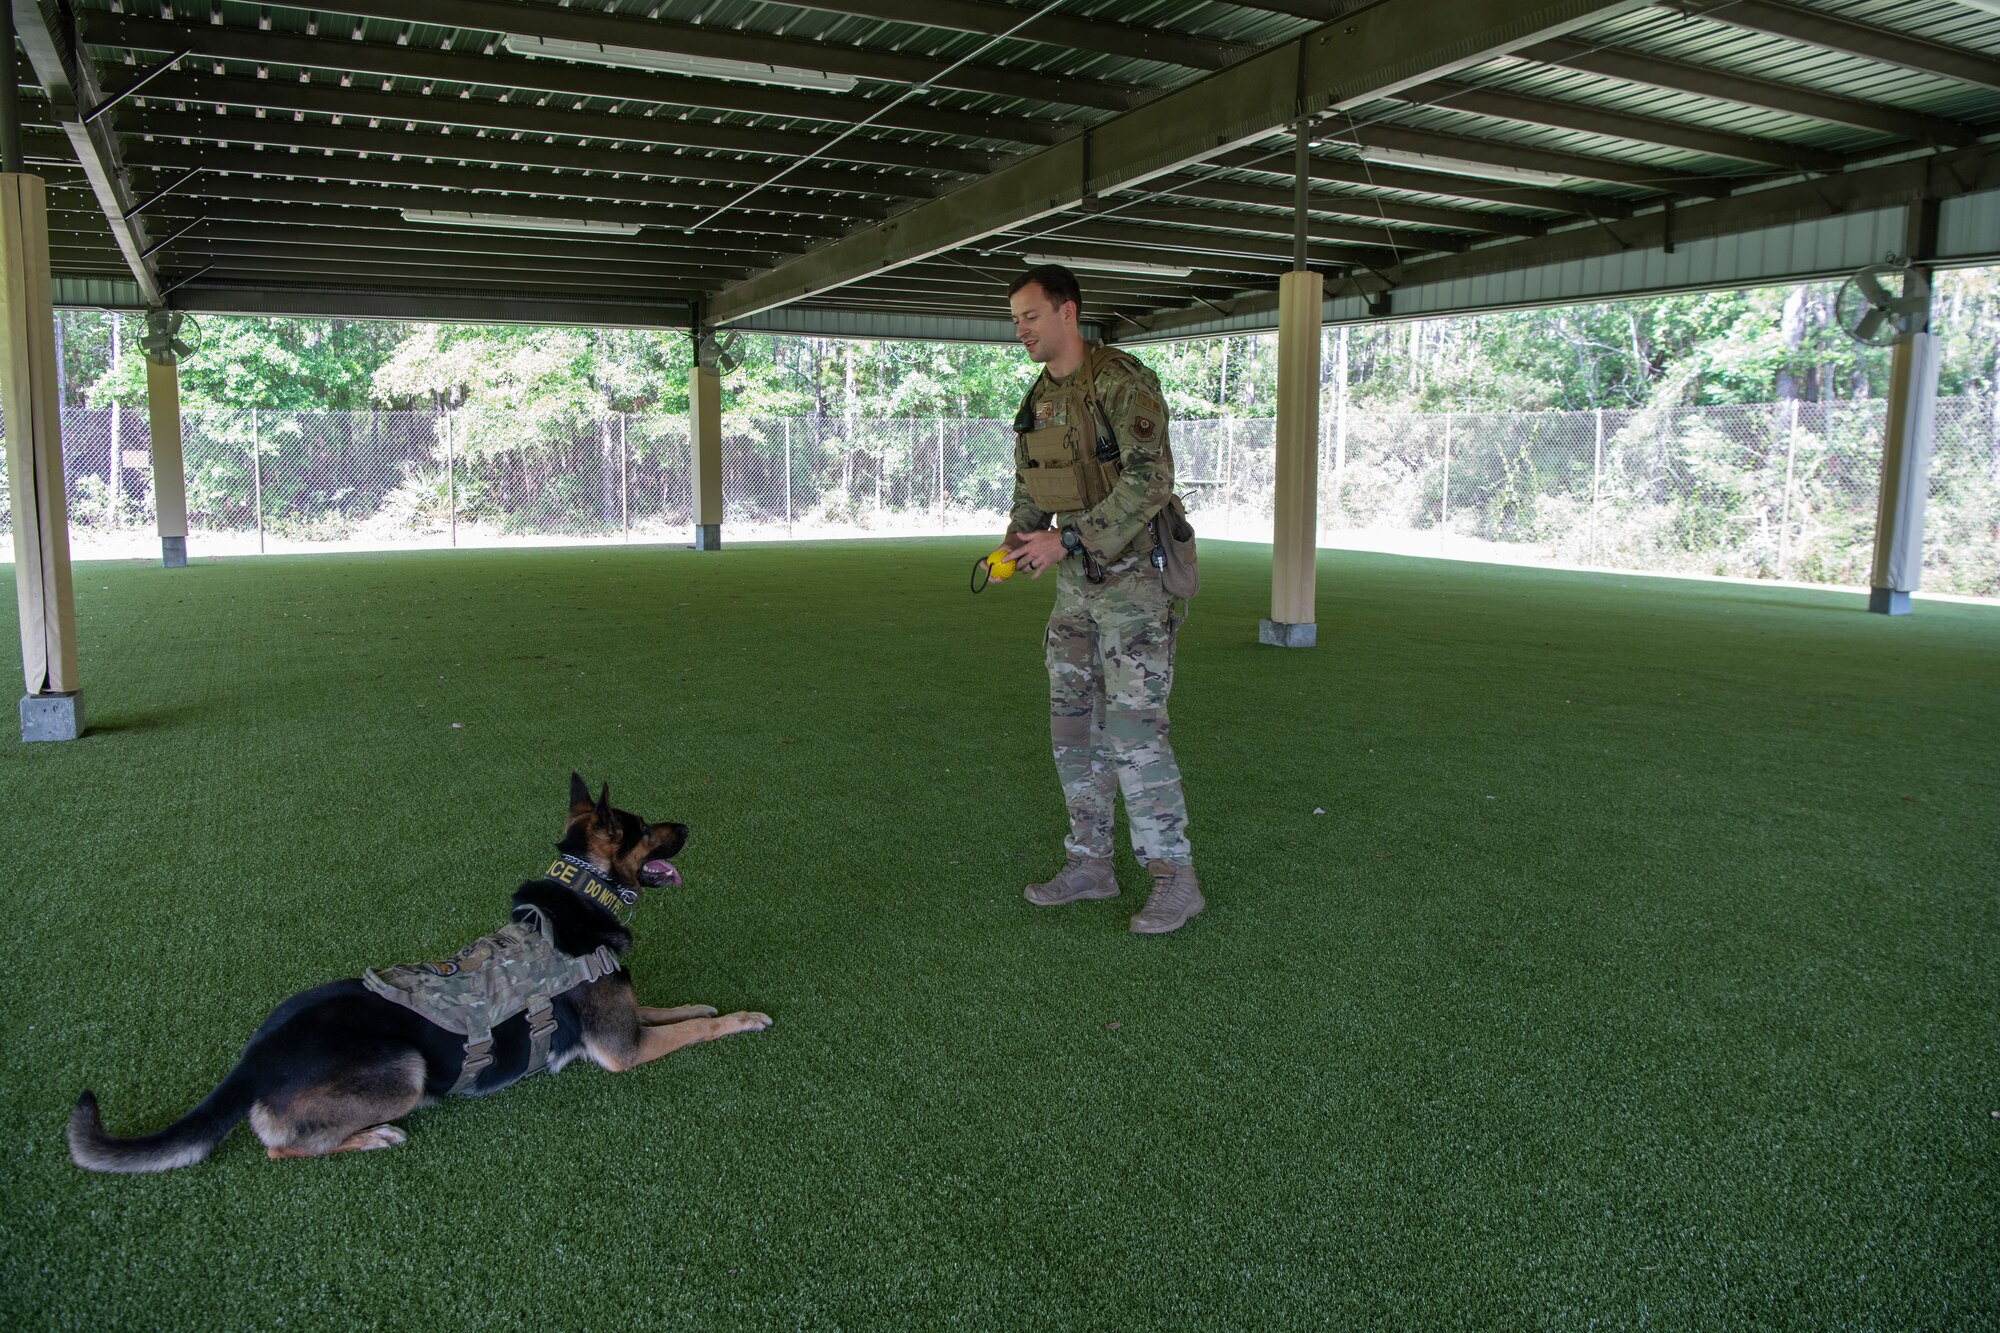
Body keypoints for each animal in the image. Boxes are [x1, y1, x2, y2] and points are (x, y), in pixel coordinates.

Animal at [70, 772, 772, 1168]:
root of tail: (255, 1055)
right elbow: (695, 1030)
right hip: (405, 1068)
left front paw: (700, 1002)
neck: (581, 897)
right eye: (645, 828)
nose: (687, 825)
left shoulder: (627, 1017)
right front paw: (744, 1017)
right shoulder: (623, 1050)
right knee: (274, 1142)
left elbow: (667, 1007)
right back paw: (372, 1138)